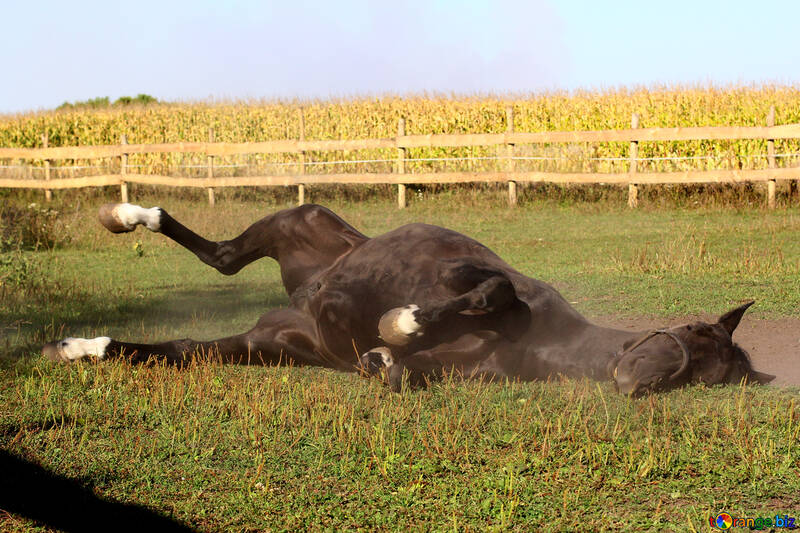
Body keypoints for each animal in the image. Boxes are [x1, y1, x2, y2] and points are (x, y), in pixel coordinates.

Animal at [42, 204, 776, 394]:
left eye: (706, 378)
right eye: (690, 335)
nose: (636, 382)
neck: (549, 340)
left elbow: (400, 374)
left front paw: (383, 356)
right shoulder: (469, 274)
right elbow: (491, 289)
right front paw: (401, 321)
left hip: (263, 345)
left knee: (185, 342)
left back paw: (76, 346)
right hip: (302, 223)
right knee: (222, 255)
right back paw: (122, 214)